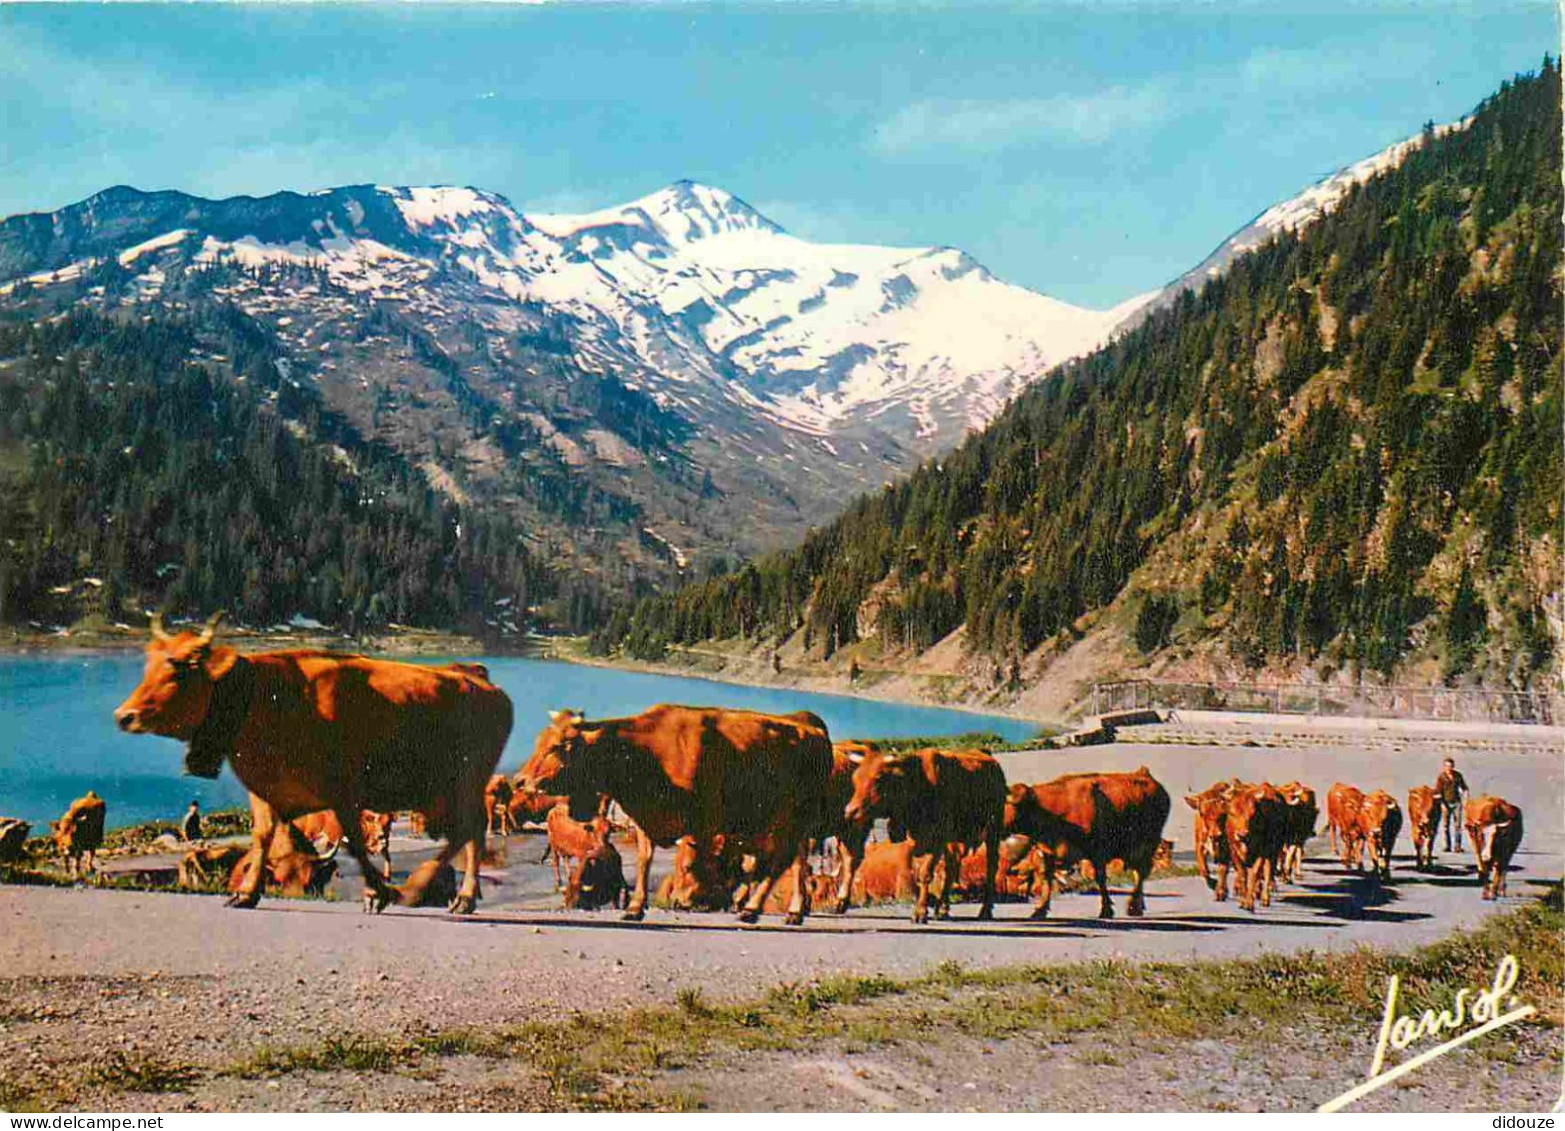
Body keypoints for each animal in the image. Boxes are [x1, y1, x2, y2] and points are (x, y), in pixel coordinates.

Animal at [111, 616, 513, 913]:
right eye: (148, 663)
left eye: (180, 668)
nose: (124, 716)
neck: (266, 698)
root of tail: (476, 676)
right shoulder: (265, 789)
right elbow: (262, 838)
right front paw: (246, 893)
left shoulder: (343, 790)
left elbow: (353, 843)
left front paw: (378, 892)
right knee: (470, 833)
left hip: (464, 782)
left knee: (469, 831)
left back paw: (431, 890)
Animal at [519, 703, 838, 926]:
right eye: (537, 741)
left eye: (558, 746)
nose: (520, 780)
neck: (645, 752)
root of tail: (812, 728)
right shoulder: (645, 819)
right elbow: (645, 860)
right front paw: (635, 908)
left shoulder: (706, 823)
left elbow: (696, 863)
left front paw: (693, 899)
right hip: (793, 823)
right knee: (796, 861)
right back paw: (792, 912)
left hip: (791, 816)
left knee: (781, 860)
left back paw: (752, 909)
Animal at [845, 747, 1001, 926]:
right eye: (855, 778)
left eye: (878, 780)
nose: (850, 811)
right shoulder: (919, 841)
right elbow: (919, 874)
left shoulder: (937, 840)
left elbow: (925, 874)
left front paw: (920, 912)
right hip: (953, 840)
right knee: (952, 866)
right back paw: (942, 909)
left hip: (992, 831)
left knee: (991, 867)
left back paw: (985, 910)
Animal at [1007, 769, 1170, 919]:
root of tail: (1143, 774)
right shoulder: (1048, 853)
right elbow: (1046, 879)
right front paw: (1039, 910)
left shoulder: (1098, 853)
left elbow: (1100, 879)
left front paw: (1106, 910)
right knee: (1139, 873)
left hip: (1147, 844)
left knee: (1141, 872)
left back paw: (1134, 906)